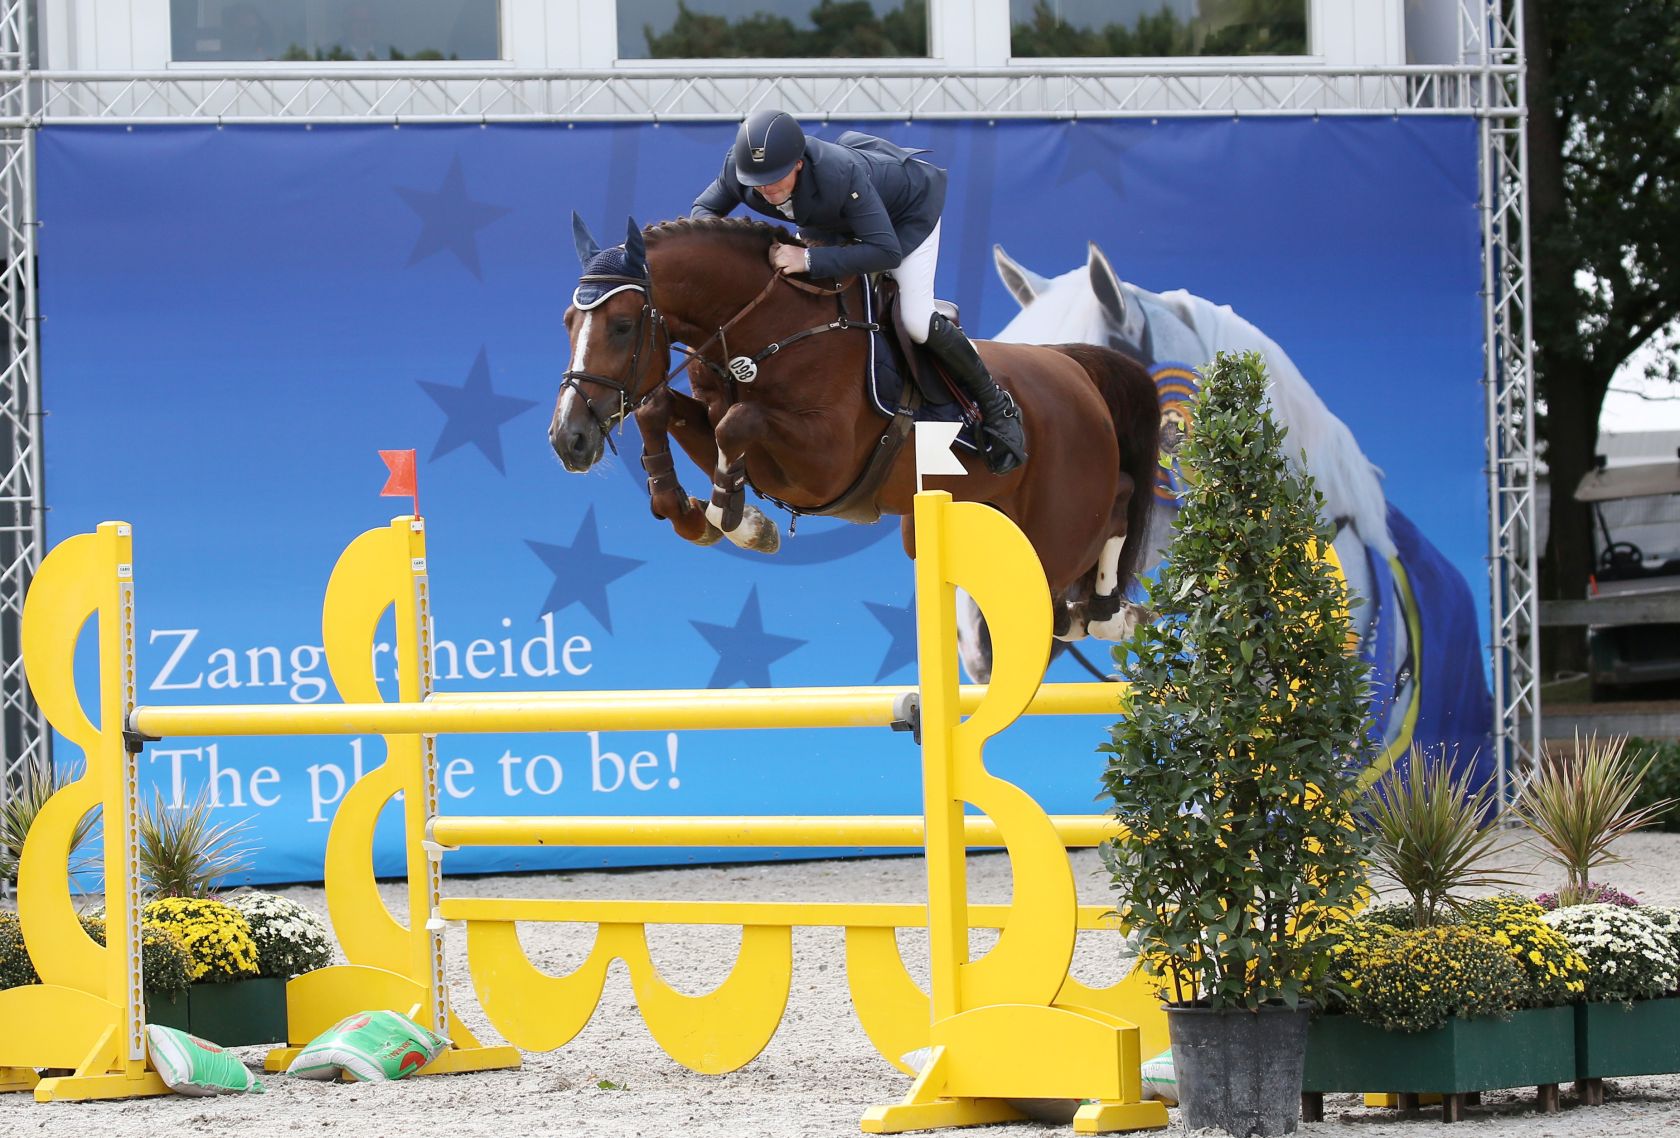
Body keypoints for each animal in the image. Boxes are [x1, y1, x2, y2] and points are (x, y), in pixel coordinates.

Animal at [544, 216, 1162, 642]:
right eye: (568, 321)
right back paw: (1096, 613)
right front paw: (692, 514)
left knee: (1118, 503)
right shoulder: (725, 428)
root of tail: (1075, 367)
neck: (771, 328)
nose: (568, 440)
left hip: (1063, 520)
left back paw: (1108, 613)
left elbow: (740, 424)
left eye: (623, 325)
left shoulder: (825, 463)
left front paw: (739, 521)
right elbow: (661, 412)